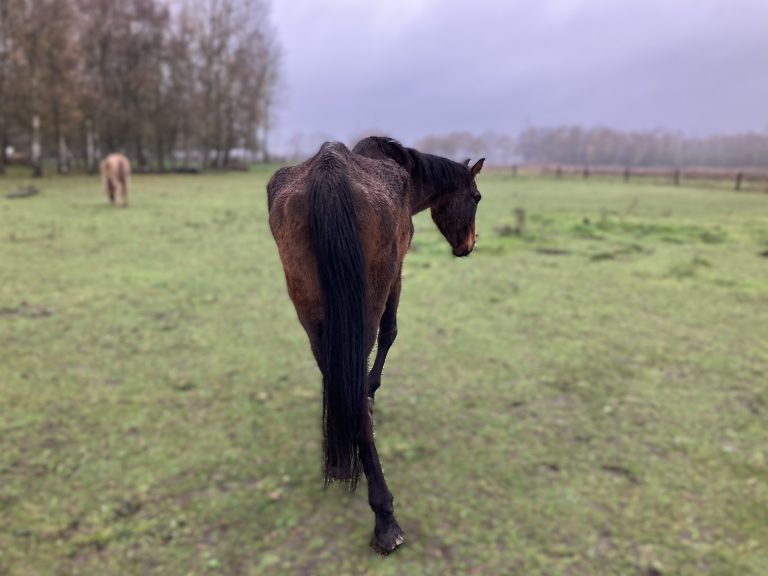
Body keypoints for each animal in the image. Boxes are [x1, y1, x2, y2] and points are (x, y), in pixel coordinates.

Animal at [267, 137, 484, 553]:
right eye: (477, 196)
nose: (468, 245)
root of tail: (328, 170)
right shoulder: (397, 274)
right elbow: (390, 334)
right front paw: (371, 392)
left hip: (312, 312)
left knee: (333, 370)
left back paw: (338, 458)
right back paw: (384, 517)